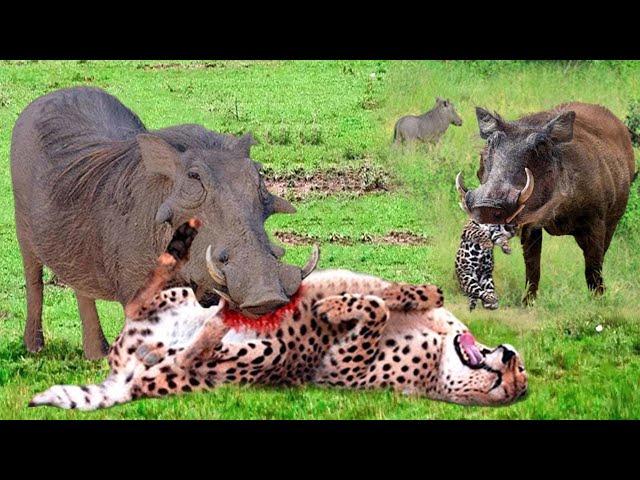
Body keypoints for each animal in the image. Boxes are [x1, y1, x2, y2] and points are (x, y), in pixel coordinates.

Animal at [30, 219, 528, 410]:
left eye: (513, 383)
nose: (507, 356)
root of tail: (129, 374)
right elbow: (392, 294)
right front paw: (412, 293)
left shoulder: (338, 362)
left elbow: (372, 308)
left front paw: (331, 309)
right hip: (175, 303)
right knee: (146, 297)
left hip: (256, 358)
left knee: (192, 354)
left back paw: (215, 325)